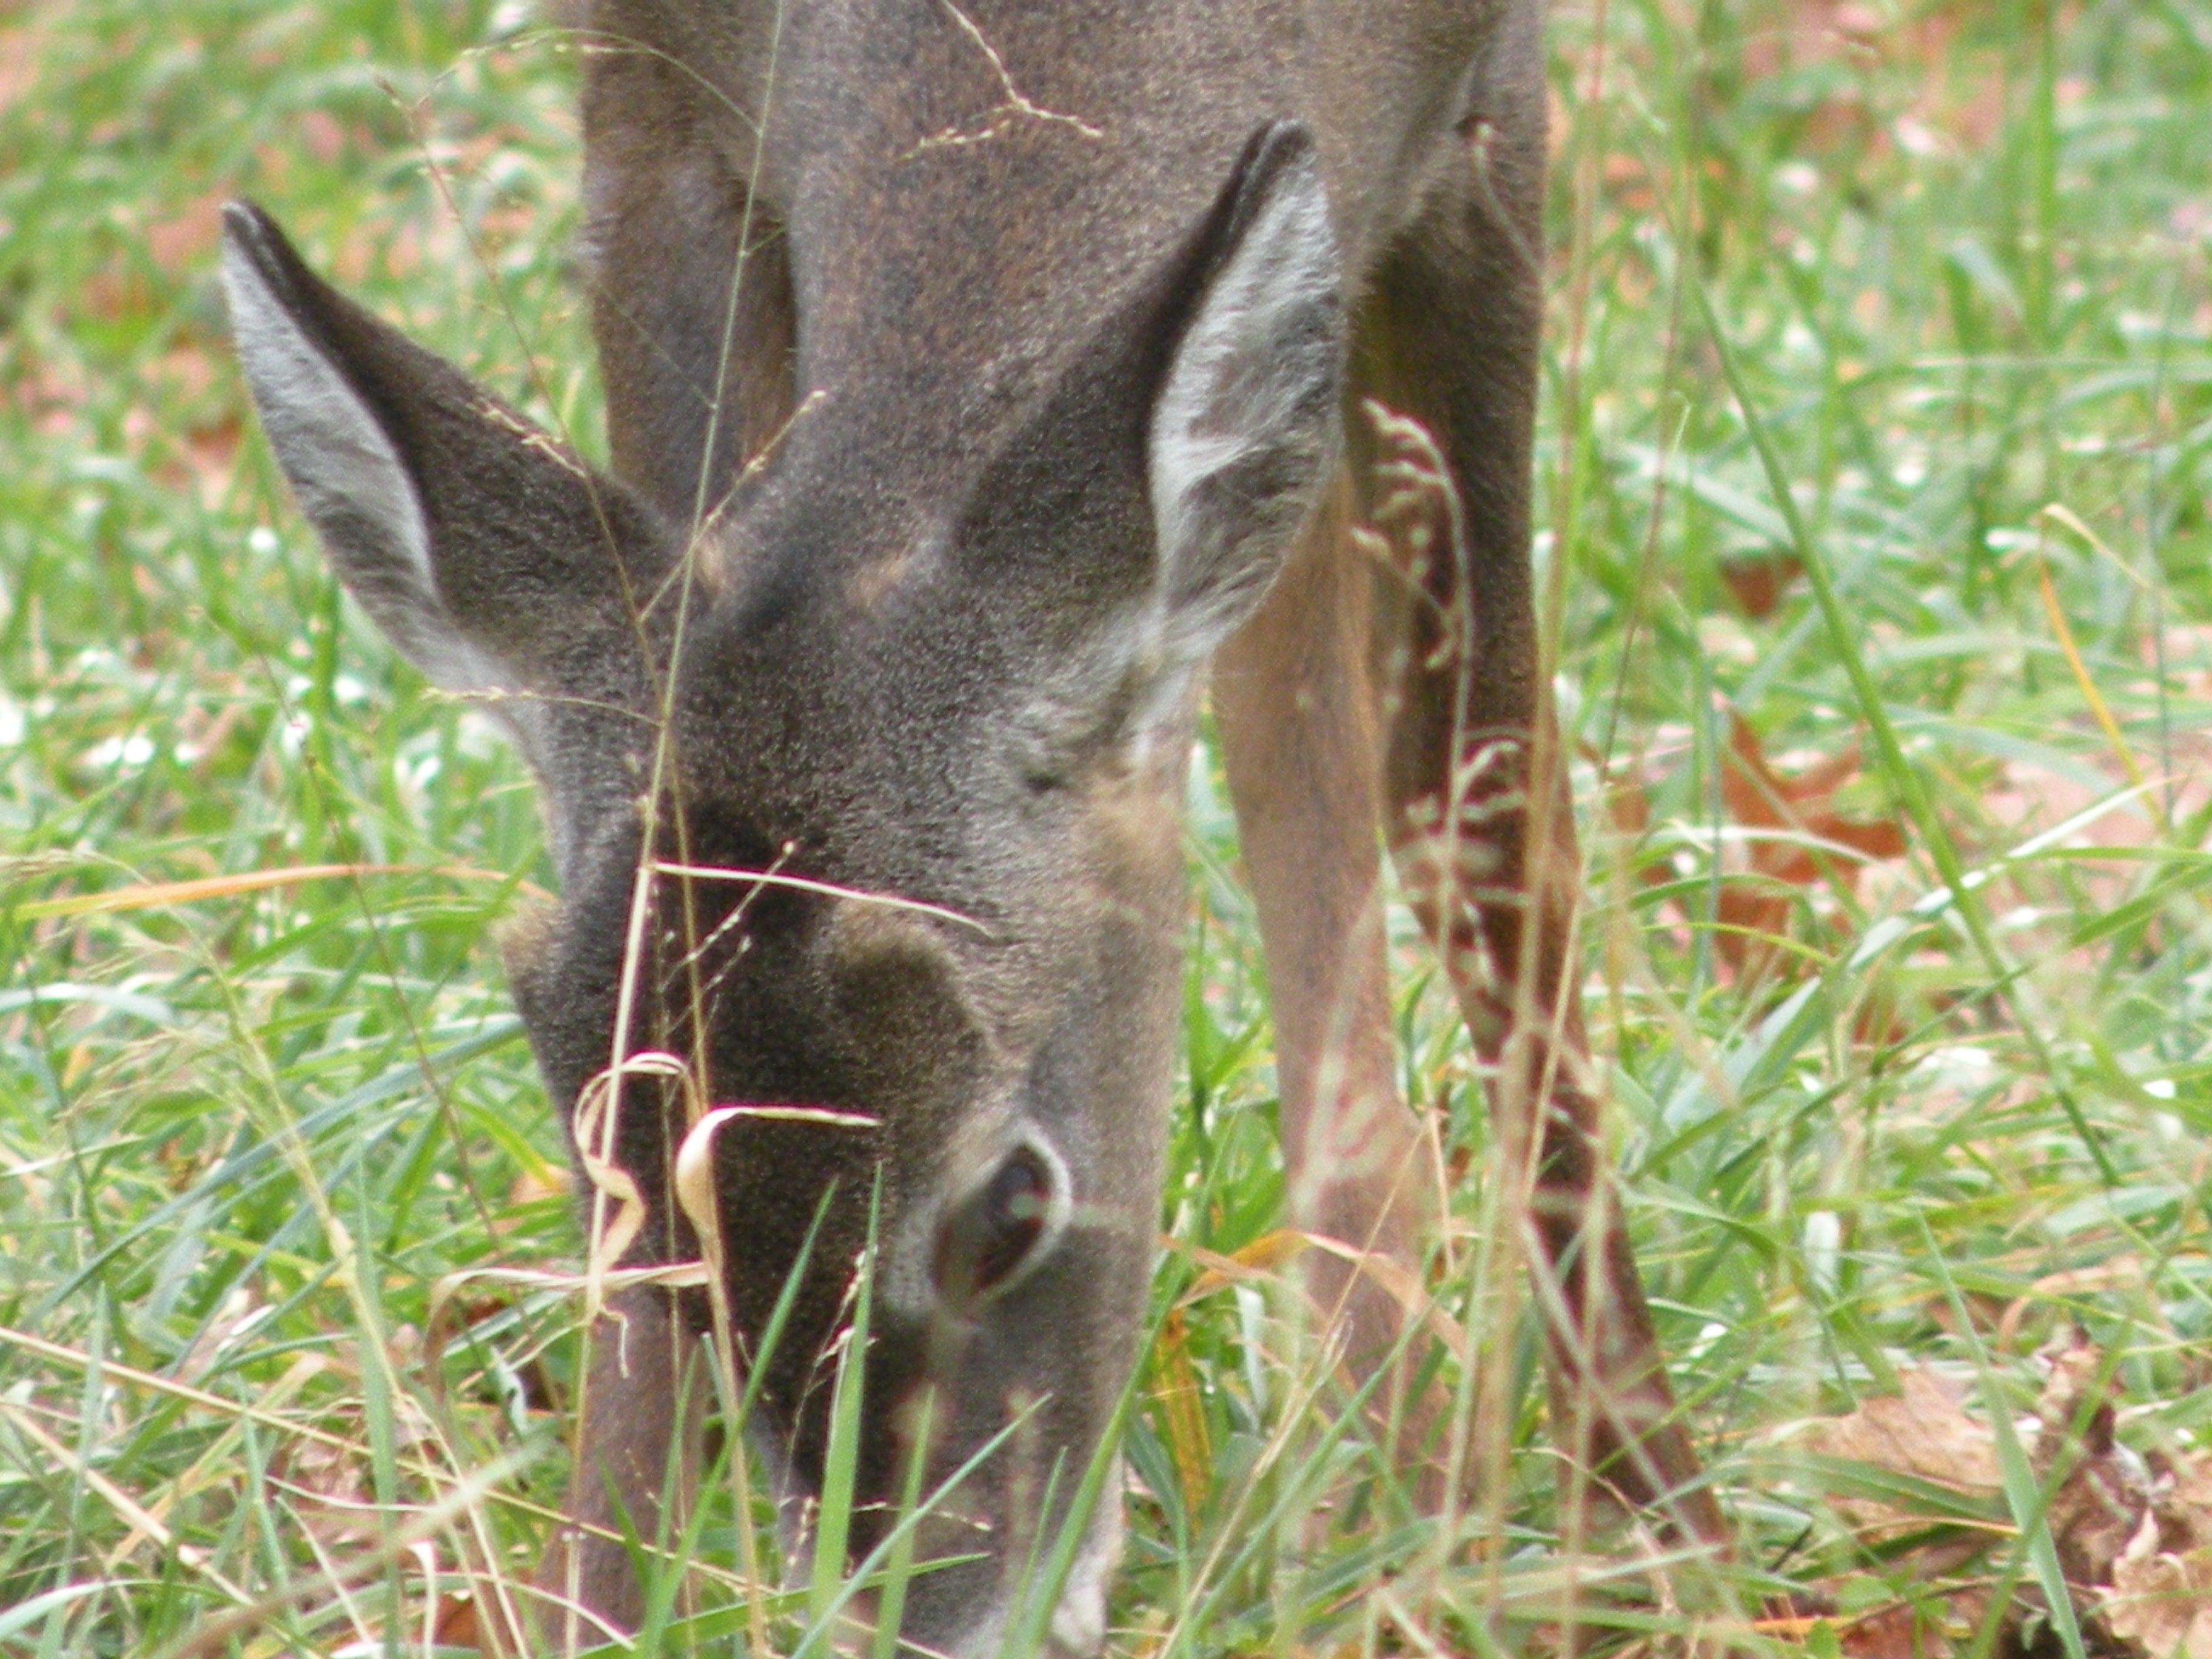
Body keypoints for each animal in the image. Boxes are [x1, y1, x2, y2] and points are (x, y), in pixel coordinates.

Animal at [215, 0, 1716, 1654]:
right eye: (633, 1207)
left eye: (1011, 1201)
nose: (924, 1618)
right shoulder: (645, 102)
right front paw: (595, 1607)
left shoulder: (1487, 111)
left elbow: (1487, 820)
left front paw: (1665, 1539)